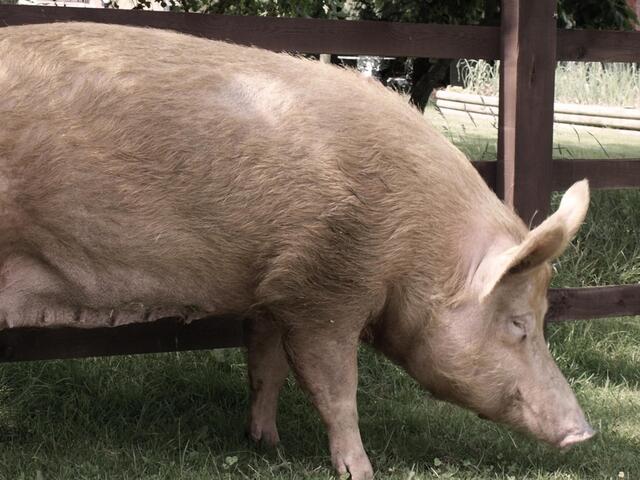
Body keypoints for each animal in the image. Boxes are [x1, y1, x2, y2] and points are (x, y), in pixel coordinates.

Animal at [0, 22, 594, 479]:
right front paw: (361, 471)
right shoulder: (325, 290)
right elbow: (334, 385)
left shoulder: (271, 292)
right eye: (518, 323)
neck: (417, 248)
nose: (584, 433)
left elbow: (266, 367)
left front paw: (265, 443)